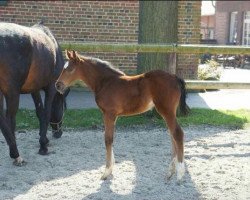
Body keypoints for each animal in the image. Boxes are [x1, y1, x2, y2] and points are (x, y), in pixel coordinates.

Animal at [0, 21, 68, 166]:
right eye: (63, 107)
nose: (58, 133)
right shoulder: (51, 88)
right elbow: (46, 113)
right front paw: (43, 145)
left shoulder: (34, 89)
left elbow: (40, 112)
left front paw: (44, 140)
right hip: (12, 92)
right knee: (10, 118)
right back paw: (16, 154)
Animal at [56, 50, 189, 183]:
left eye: (70, 69)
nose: (58, 85)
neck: (105, 82)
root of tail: (175, 77)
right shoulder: (111, 115)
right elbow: (110, 138)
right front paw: (111, 168)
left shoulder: (109, 114)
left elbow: (108, 139)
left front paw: (106, 172)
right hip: (168, 112)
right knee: (172, 135)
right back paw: (170, 172)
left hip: (166, 111)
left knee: (177, 134)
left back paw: (180, 174)